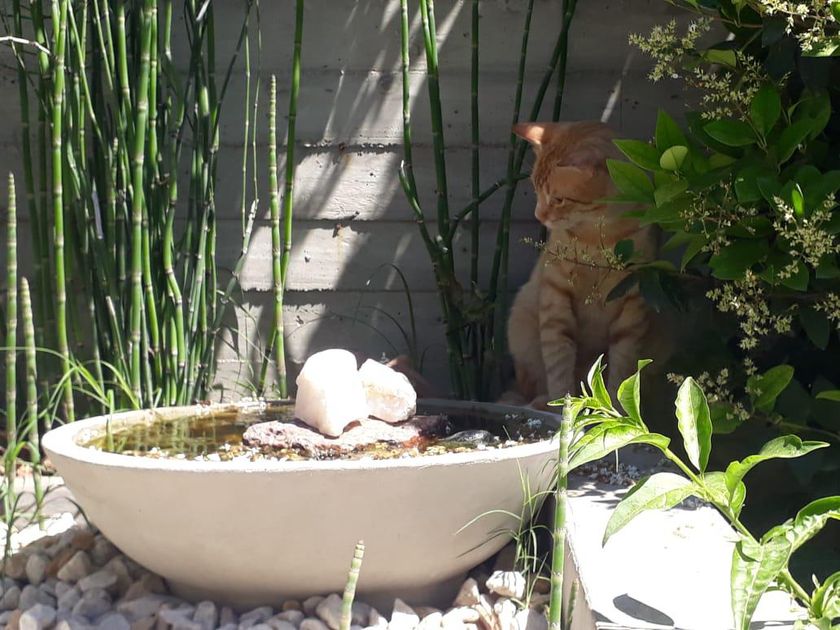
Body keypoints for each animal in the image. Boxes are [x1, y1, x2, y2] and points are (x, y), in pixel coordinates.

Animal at [503, 121, 656, 408]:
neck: (597, 238)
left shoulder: (632, 307)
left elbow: (622, 373)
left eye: (558, 199)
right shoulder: (556, 299)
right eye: (536, 190)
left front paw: (619, 412)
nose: (538, 215)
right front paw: (563, 407)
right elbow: (558, 366)